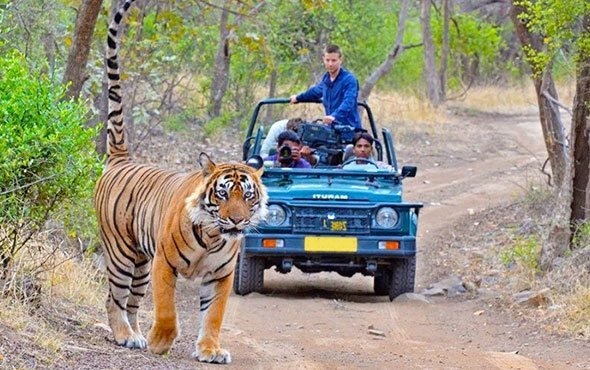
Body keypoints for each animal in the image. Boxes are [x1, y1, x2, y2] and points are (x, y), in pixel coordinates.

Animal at [94, 0, 268, 364]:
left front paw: (210, 350)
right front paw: (161, 341)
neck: (214, 236)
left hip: (140, 263)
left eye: (247, 196)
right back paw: (125, 335)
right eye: (223, 194)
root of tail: (121, 158)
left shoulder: (220, 275)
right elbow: (167, 310)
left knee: (132, 302)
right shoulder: (164, 263)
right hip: (121, 253)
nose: (237, 221)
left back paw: (135, 335)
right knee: (114, 297)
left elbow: (213, 315)